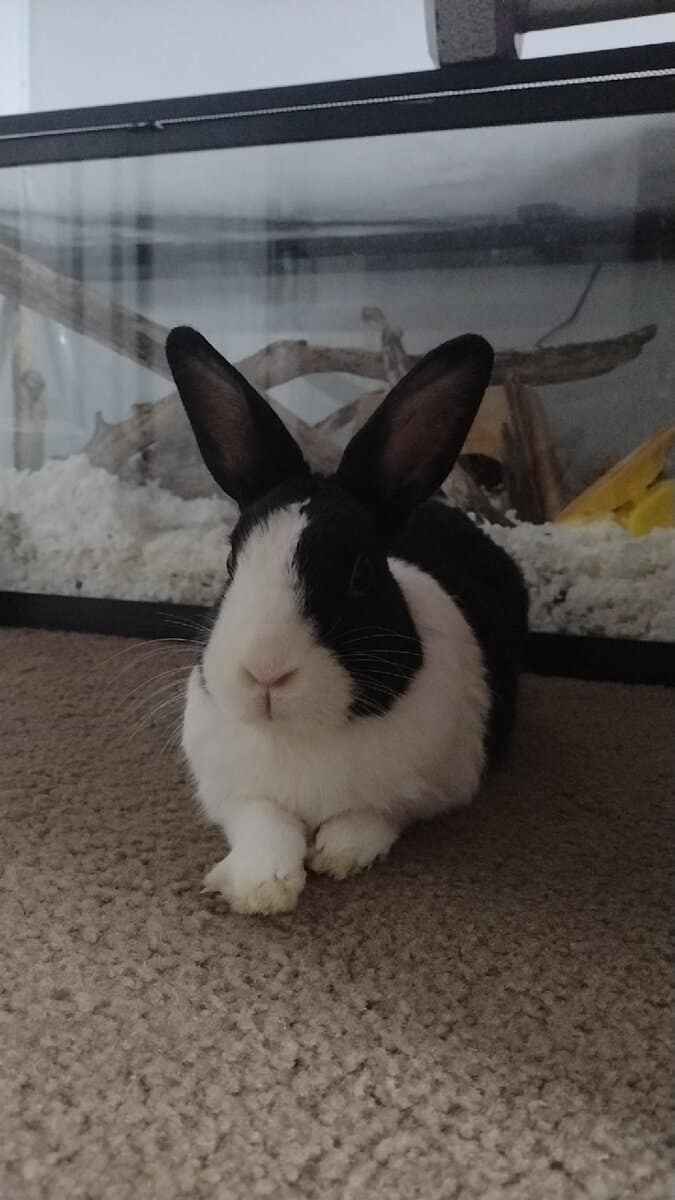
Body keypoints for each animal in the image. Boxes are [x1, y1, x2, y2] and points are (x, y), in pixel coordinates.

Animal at [165, 326, 528, 915]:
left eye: (361, 573)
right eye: (231, 562)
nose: (265, 673)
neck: (302, 736)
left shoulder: (431, 787)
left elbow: (373, 815)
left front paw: (337, 854)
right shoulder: (231, 790)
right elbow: (262, 821)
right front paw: (263, 886)